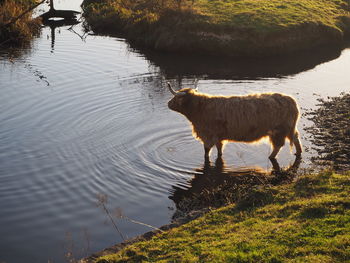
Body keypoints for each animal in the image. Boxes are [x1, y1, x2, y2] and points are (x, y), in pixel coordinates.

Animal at [166, 83, 300, 161]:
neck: (199, 108)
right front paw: (219, 155)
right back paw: (298, 153)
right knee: (295, 137)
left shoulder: (207, 135)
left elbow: (206, 151)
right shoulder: (218, 136)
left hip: (279, 130)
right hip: (289, 128)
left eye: (176, 97)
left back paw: (271, 157)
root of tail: (291, 100)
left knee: (278, 145)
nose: (168, 103)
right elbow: (219, 149)